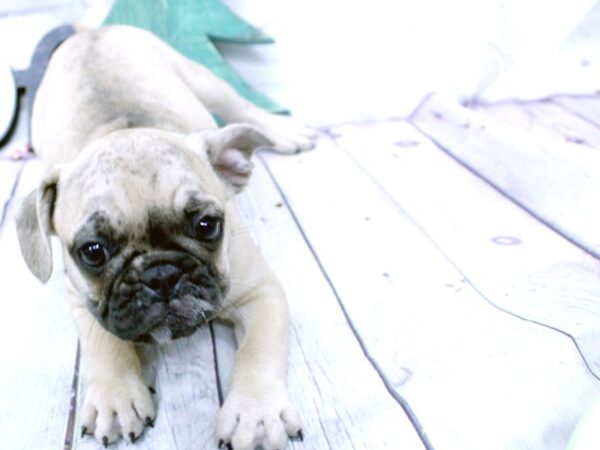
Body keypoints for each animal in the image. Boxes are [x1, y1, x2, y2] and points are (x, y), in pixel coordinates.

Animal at [15, 25, 314, 450]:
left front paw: (257, 411)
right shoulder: (78, 296)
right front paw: (115, 397)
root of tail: (91, 31)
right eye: (92, 252)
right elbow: (103, 342)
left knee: (239, 105)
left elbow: (258, 349)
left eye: (207, 225)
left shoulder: (262, 292)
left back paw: (283, 130)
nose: (161, 275)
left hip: (202, 79)